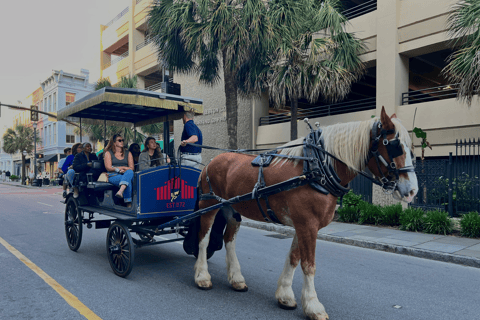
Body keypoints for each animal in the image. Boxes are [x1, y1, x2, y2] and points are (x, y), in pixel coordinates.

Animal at [193, 108, 418, 320]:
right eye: (394, 146)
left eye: (411, 149)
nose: (413, 191)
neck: (317, 167)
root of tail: (212, 161)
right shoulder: (307, 224)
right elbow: (309, 265)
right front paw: (313, 306)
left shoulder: (304, 224)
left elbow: (294, 258)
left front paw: (285, 295)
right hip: (209, 204)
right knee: (203, 239)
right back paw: (202, 276)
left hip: (232, 209)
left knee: (229, 240)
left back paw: (236, 278)